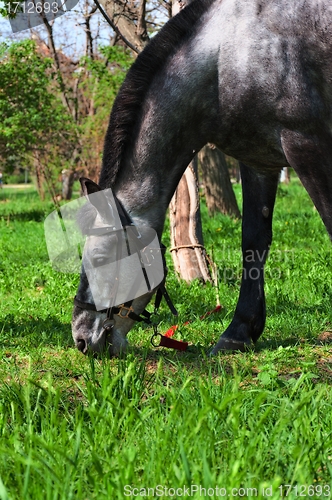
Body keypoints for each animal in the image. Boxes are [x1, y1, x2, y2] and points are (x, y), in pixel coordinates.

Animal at [72, 0, 332, 356]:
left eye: (99, 256)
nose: (81, 339)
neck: (228, 55)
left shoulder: (308, 147)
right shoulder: (258, 161)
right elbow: (253, 241)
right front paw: (238, 332)